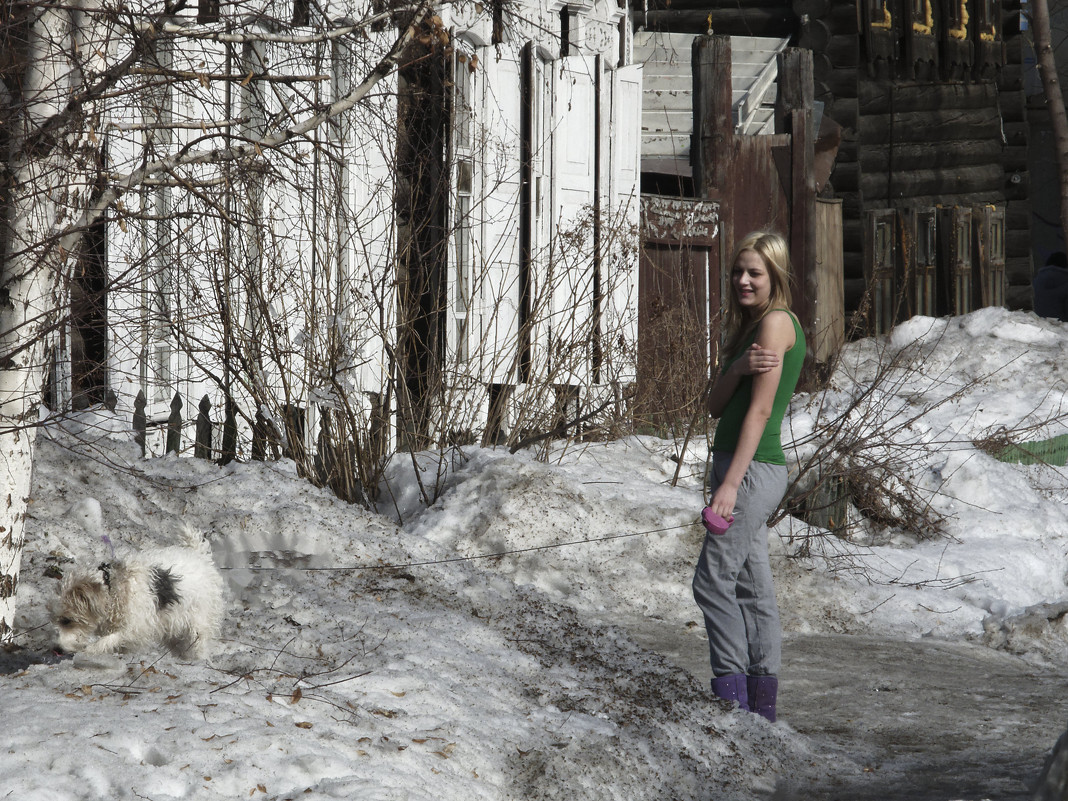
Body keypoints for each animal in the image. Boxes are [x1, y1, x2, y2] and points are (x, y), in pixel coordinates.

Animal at [53, 527, 224, 657]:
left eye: (67, 620)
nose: (57, 649)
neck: (112, 586)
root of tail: (200, 556)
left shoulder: (136, 627)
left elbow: (110, 639)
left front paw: (91, 650)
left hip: (198, 626)